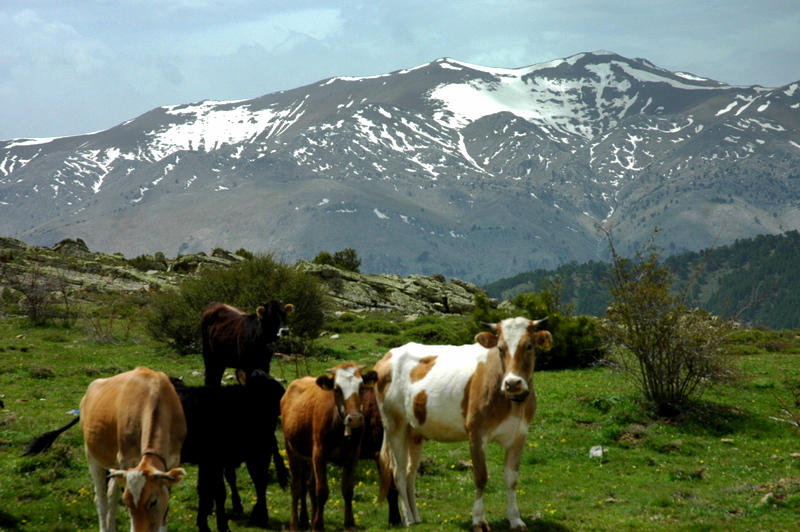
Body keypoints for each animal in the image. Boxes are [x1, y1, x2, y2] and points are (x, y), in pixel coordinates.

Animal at [80, 368, 188, 532]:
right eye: (127, 503)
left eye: (153, 502)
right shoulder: (127, 460)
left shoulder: (173, 462)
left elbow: (164, 512)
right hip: (92, 457)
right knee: (101, 500)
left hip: (115, 467)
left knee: (111, 496)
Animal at [280, 362, 380, 532]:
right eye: (337, 389)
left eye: (361, 386)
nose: (355, 418)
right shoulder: (319, 454)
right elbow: (322, 491)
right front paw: (318, 526)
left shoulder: (353, 455)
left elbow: (347, 489)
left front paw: (349, 523)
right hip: (291, 448)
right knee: (296, 486)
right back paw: (295, 524)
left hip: (308, 455)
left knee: (308, 485)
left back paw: (306, 519)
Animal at [374, 318, 552, 528]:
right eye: (500, 348)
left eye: (529, 346)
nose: (513, 383)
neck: (513, 403)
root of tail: (388, 355)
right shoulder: (476, 432)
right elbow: (481, 477)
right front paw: (479, 521)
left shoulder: (519, 434)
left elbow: (512, 479)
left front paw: (516, 520)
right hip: (395, 424)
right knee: (399, 472)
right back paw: (408, 518)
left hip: (415, 431)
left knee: (411, 472)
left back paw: (416, 517)